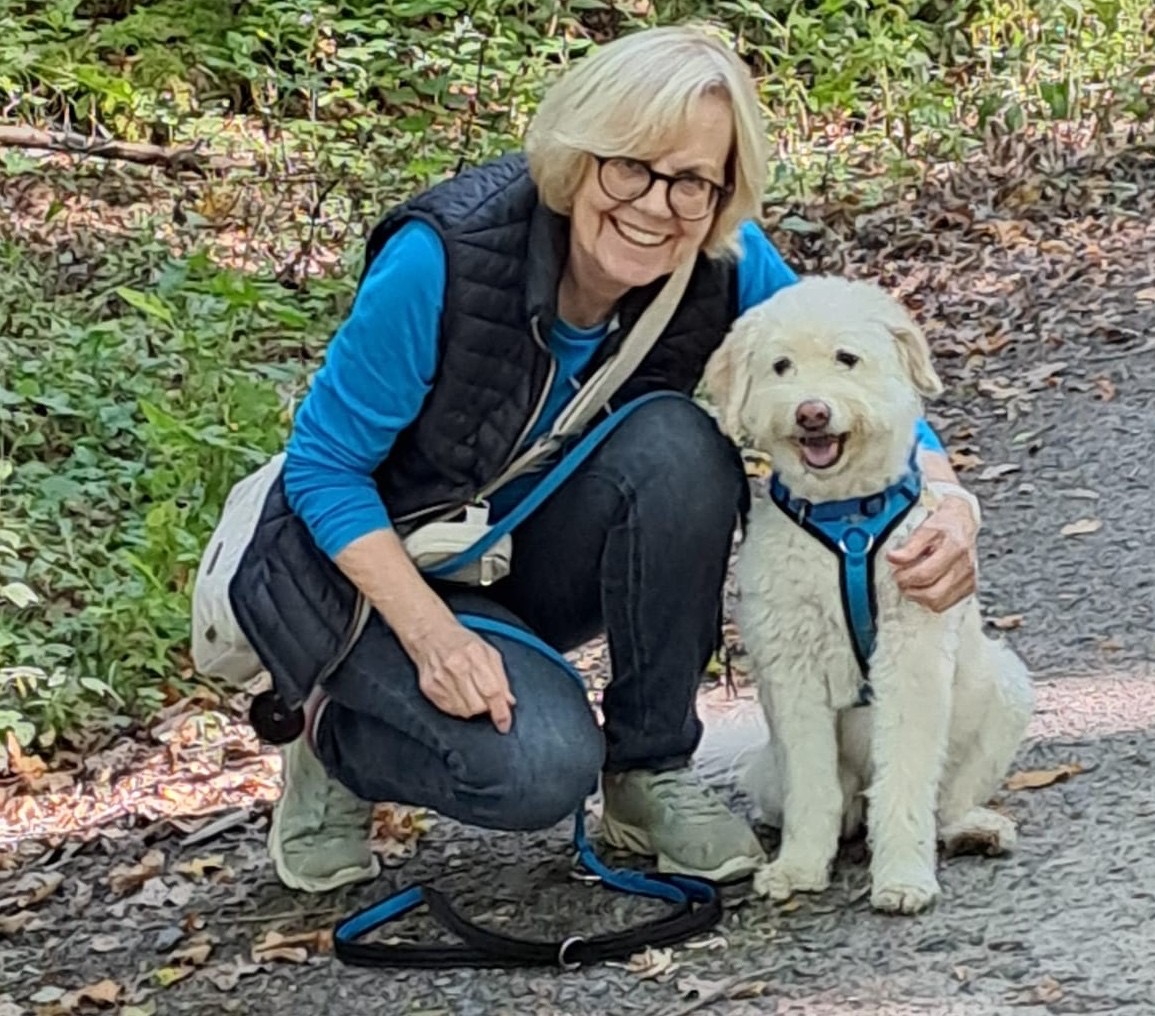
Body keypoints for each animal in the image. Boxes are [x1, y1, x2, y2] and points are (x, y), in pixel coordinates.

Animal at [703, 275, 1034, 914]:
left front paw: (903, 876)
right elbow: (813, 787)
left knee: (945, 799)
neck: (846, 520)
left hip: (1007, 691)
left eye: (846, 358)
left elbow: (905, 778)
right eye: (781, 366)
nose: (811, 412)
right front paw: (800, 866)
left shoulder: (910, 659)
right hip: (770, 769)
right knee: (834, 801)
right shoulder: (792, 671)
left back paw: (973, 829)